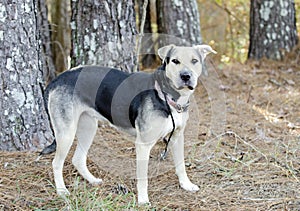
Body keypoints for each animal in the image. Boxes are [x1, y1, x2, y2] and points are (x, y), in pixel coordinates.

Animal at [41, 44, 216, 204]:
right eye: (175, 61)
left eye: (194, 61)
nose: (185, 76)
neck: (166, 95)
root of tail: (57, 80)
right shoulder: (143, 145)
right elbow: (143, 177)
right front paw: (143, 200)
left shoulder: (177, 137)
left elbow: (181, 165)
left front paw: (186, 185)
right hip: (67, 132)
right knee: (56, 163)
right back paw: (62, 191)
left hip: (88, 127)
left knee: (78, 159)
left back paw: (92, 180)